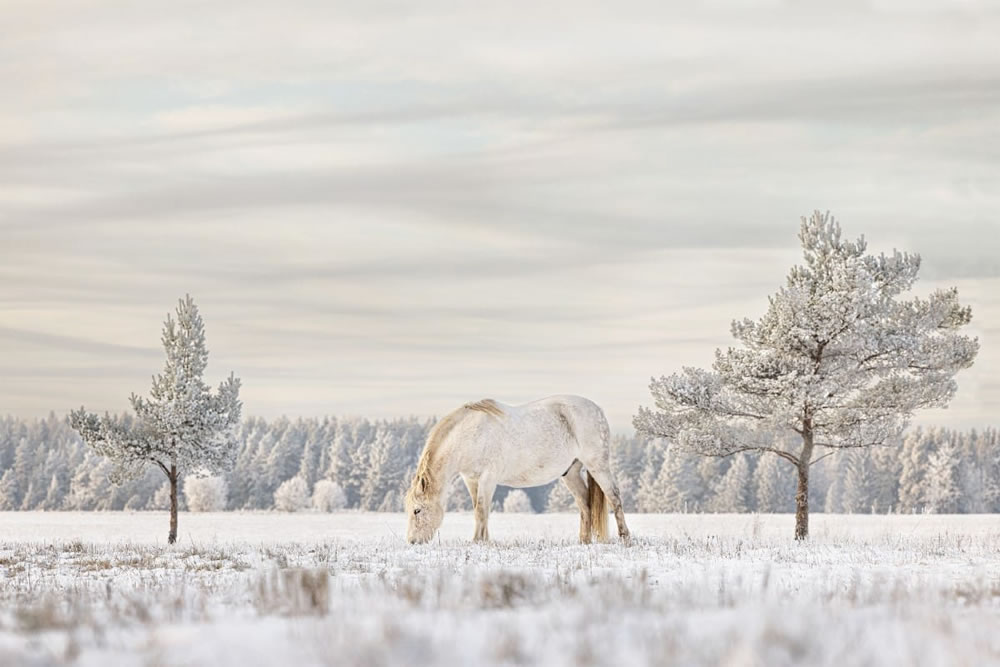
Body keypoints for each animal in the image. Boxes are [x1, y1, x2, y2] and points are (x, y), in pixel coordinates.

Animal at [402, 396, 628, 544]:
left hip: (597, 465)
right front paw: (483, 541)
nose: (412, 541)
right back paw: (584, 541)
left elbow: (481, 510)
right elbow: (479, 510)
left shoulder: (487, 478)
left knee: (614, 497)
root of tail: (597, 409)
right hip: (570, 473)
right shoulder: (471, 479)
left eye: (417, 510)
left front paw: (478, 541)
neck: (470, 435)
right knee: (585, 504)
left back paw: (625, 538)